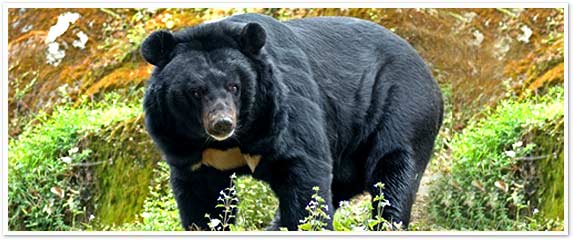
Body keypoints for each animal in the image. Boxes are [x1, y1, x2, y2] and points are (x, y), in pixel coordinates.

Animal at [142, 13, 442, 231]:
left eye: (234, 86)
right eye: (196, 91)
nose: (222, 124)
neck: (233, 141)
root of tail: (432, 78)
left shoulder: (283, 113)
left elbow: (305, 176)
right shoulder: (181, 143)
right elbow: (201, 200)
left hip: (403, 107)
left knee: (393, 173)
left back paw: (385, 223)